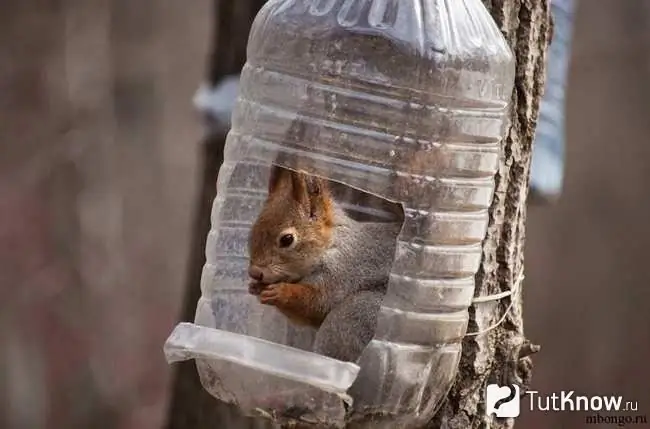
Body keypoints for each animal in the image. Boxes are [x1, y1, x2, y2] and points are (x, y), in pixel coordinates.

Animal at [247, 164, 400, 362]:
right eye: (252, 231)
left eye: (287, 239)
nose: (254, 272)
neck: (331, 246)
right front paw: (256, 287)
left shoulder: (342, 273)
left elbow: (316, 302)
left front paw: (281, 292)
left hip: (354, 317)